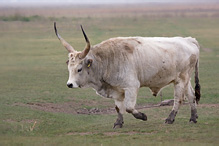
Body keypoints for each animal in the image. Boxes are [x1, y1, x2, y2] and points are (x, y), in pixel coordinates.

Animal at [54, 22, 201, 128]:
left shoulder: (131, 87)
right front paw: (118, 123)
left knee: (178, 99)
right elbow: (119, 108)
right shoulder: (116, 90)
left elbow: (129, 107)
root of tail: (189, 40)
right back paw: (193, 118)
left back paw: (170, 118)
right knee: (191, 96)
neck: (107, 59)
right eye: (69, 68)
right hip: (185, 79)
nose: (69, 84)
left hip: (180, 80)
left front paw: (142, 116)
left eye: (79, 69)